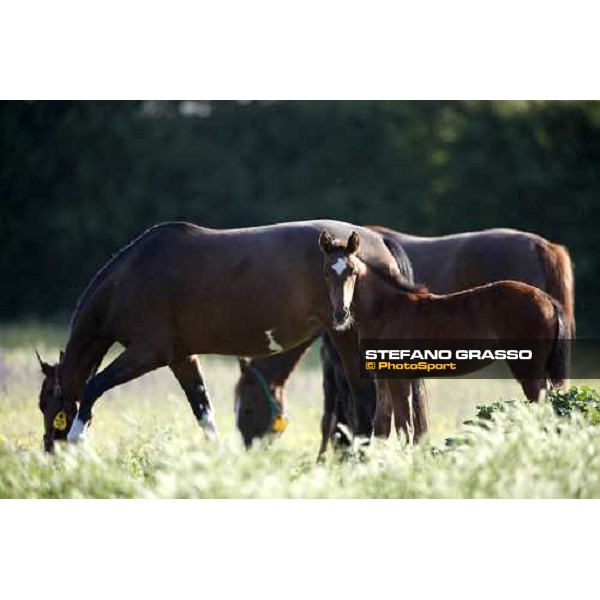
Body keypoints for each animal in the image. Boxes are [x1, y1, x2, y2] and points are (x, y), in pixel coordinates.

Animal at [322, 232, 568, 442]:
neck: (385, 309)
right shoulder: (383, 375)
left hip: (528, 367)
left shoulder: (398, 375)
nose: (341, 314)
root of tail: (549, 300)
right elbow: (383, 427)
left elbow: (404, 427)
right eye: (327, 272)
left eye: (352, 271)